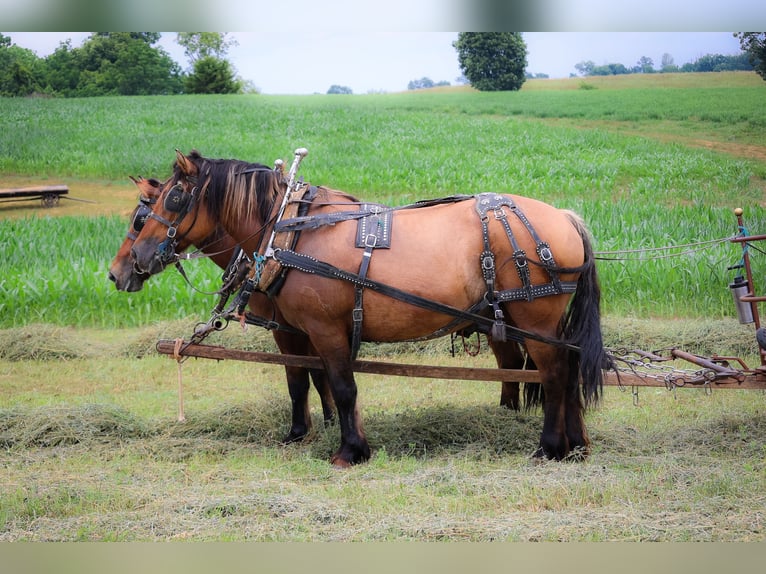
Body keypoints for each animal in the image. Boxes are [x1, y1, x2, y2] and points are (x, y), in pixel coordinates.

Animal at [108, 175, 336, 441]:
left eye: (139, 221)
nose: (114, 274)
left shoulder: (291, 328)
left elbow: (301, 375)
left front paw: (302, 431)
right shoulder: (306, 328)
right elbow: (319, 374)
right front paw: (330, 423)